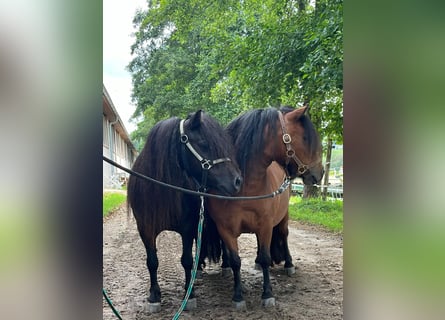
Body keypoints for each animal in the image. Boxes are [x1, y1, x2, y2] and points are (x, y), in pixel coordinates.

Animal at [126, 110, 241, 312]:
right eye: (204, 143)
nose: (237, 181)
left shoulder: (187, 228)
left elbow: (186, 260)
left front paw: (190, 294)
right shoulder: (145, 229)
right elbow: (152, 262)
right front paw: (154, 296)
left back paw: (225, 266)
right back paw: (200, 267)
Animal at [205, 106, 322, 308]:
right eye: (306, 138)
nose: (320, 173)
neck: (245, 189)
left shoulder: (266, 225)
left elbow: (267, 258)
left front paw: (267, 294)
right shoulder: (226, 229)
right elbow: (236, 261)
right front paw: (238, 295)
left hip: (282, 218)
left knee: (283, 235)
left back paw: (288, 264)